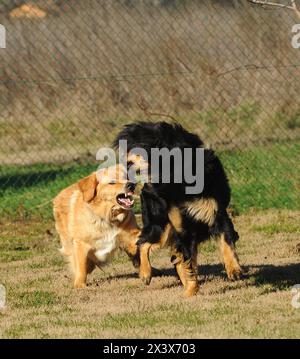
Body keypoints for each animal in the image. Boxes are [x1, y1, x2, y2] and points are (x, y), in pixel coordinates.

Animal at [113, 121, 243, 298]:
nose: (125, 164)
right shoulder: (183, 230)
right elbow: (189, 265)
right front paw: (191, 291)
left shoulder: (217, 215)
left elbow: (226, 241)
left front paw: (233, 269)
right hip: (161, 228)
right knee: (143, 242)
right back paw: (146, 273)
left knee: (173, 256)